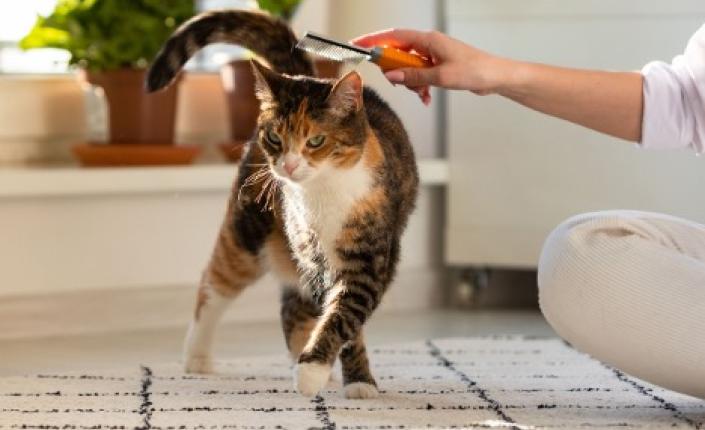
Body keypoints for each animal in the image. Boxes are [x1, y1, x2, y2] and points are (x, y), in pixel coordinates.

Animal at [145, 10, 416, 400]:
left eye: (316, 141)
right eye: (275, 137)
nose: (288, 165)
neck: (323, 194)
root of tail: (305, 73)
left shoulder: (371, 258)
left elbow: (345, 315)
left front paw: (341, 377)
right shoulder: (315, 258)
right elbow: (342, 320)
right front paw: (324, 372)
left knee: (292, 308)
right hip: (250, 230)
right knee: (214, 283)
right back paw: (196, 356)